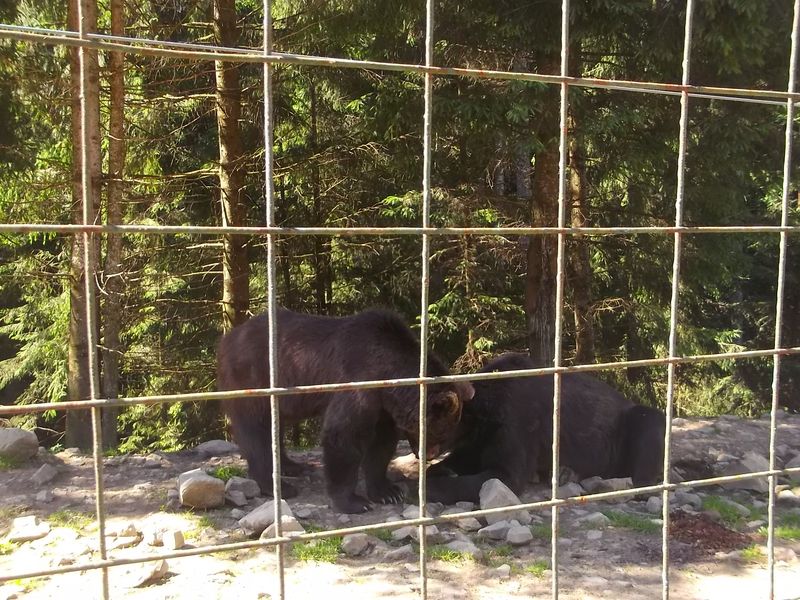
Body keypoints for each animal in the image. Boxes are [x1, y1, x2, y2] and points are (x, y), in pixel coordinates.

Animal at [216, 306, 474, 514]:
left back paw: (294, 466)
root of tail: (228, 338)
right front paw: (355, 502)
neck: (390, 373)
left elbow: (381, 446)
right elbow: (343, 435)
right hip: (252, 378)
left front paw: (388, 492)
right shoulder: (358, 382)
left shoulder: (384, 406)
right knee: (256, 430)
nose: (427, 455)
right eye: (441, 431)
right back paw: (277, 486)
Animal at [426, 352, 665, 504]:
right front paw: (439, 470)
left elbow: (489, 478)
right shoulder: (475, 444)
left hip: (633, 422)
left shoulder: (514, 435)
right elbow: (454, 462)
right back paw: (564, 472)